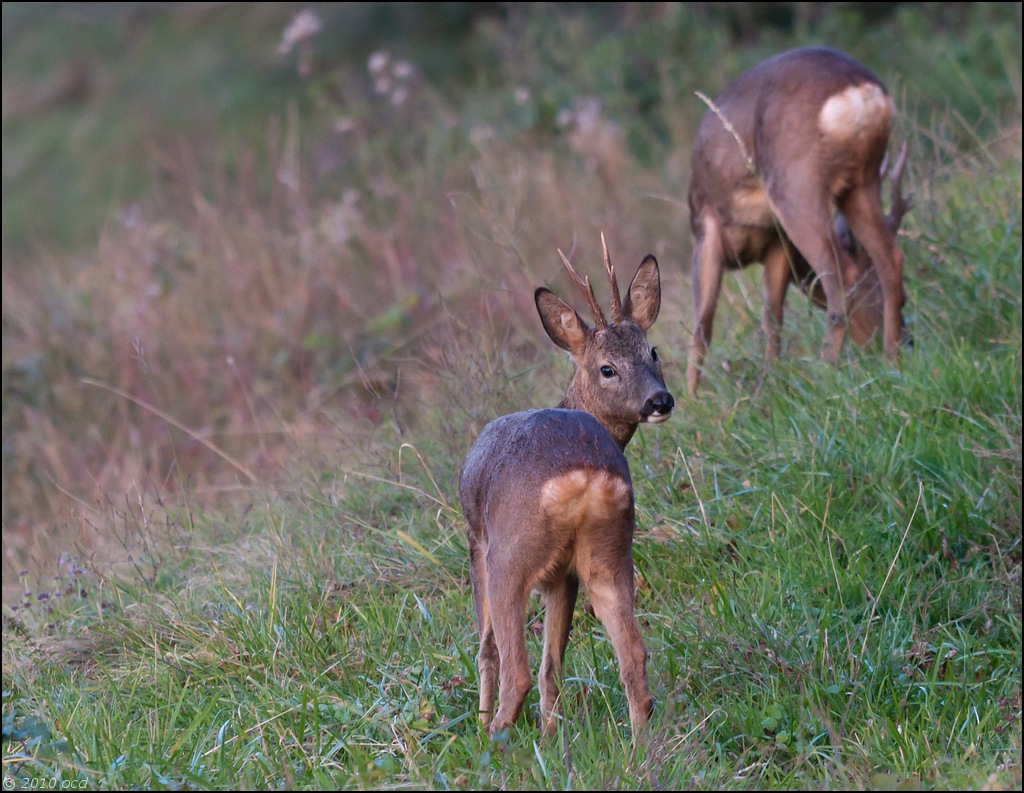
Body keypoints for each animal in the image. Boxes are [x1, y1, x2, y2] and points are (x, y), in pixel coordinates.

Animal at [458, 234, 671, 737]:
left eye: (651, 352)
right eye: (608, 367)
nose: (660, 400)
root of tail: (585, 477)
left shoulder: (476, 541)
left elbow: (487, 647)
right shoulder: (562, 576)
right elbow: (554, 660)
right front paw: (552, 733)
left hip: (509, 555)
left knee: (514, 666)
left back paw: (492, 738)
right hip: (608, 549)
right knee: (633, 653)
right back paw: (639, 746)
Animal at [688, 45, 913, 397]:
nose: (910, 339)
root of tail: (858, 90)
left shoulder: (705, 229)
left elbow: (702, 325)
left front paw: (692, 401)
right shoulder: (777, 240)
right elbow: (771, 315)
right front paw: (770, 379)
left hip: (797, 186)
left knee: (840, 272)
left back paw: (827, 371)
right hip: (860, 182)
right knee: (890, 256)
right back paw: (892, 361)